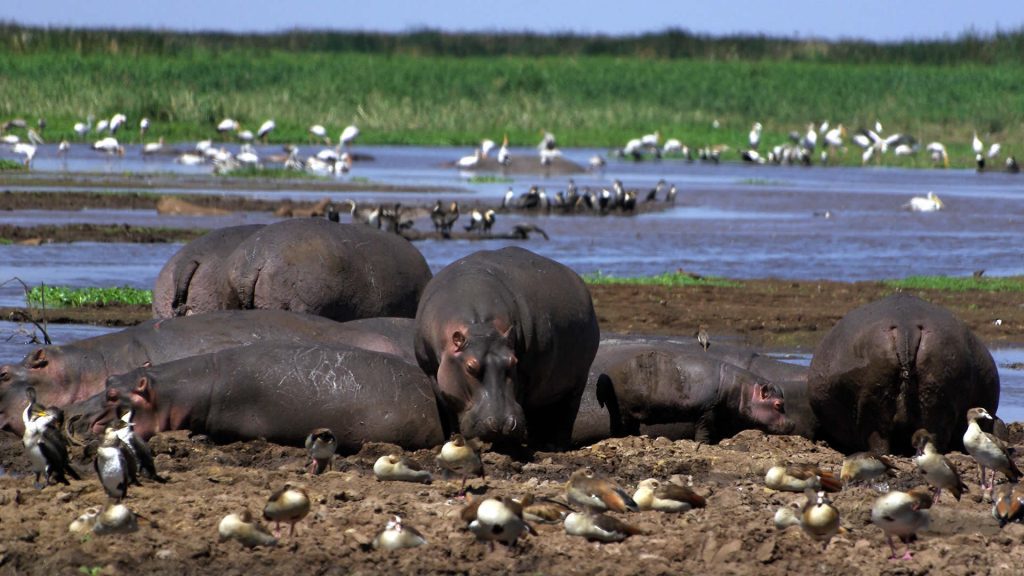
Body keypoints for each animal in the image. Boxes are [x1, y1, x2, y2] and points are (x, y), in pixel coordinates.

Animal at [414, 247, 600, 450]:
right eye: (470, 367)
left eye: (513, 362)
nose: (502, 424)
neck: (481, 327)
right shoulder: (432, 372)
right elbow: (447, 406)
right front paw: (455, 438)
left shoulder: (527, 372)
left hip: (578, 380)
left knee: (566, 413)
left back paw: (554, 445)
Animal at [571, 339, 800, 446]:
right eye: (778, 404)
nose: (792, 423)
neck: (742, 389)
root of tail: (604, 376)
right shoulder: (708, 410)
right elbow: (705, 430)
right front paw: (704, 444)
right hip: (622, 408)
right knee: (620, 426)